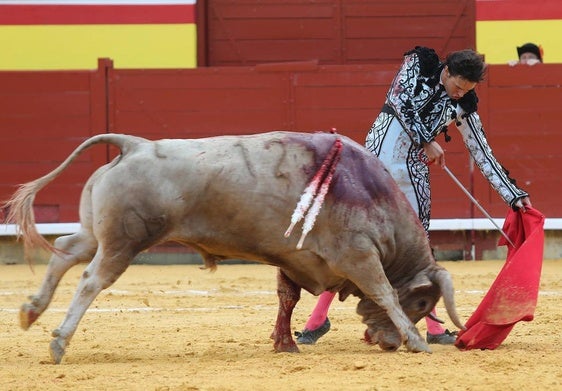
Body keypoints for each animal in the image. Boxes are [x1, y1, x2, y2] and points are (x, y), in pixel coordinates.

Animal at [2, 132, 462, 364]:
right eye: (423, 303)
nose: (387, 343)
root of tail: (135, 144)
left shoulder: (293, 258)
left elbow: (287, 298)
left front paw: (285, 344)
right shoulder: (359, 254)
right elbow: (384, 292)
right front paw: (417, 341)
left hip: (98, 233)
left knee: (66, 249)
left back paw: (31, 311)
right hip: (123, 242)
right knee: (90, 279)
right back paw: (59, 341)